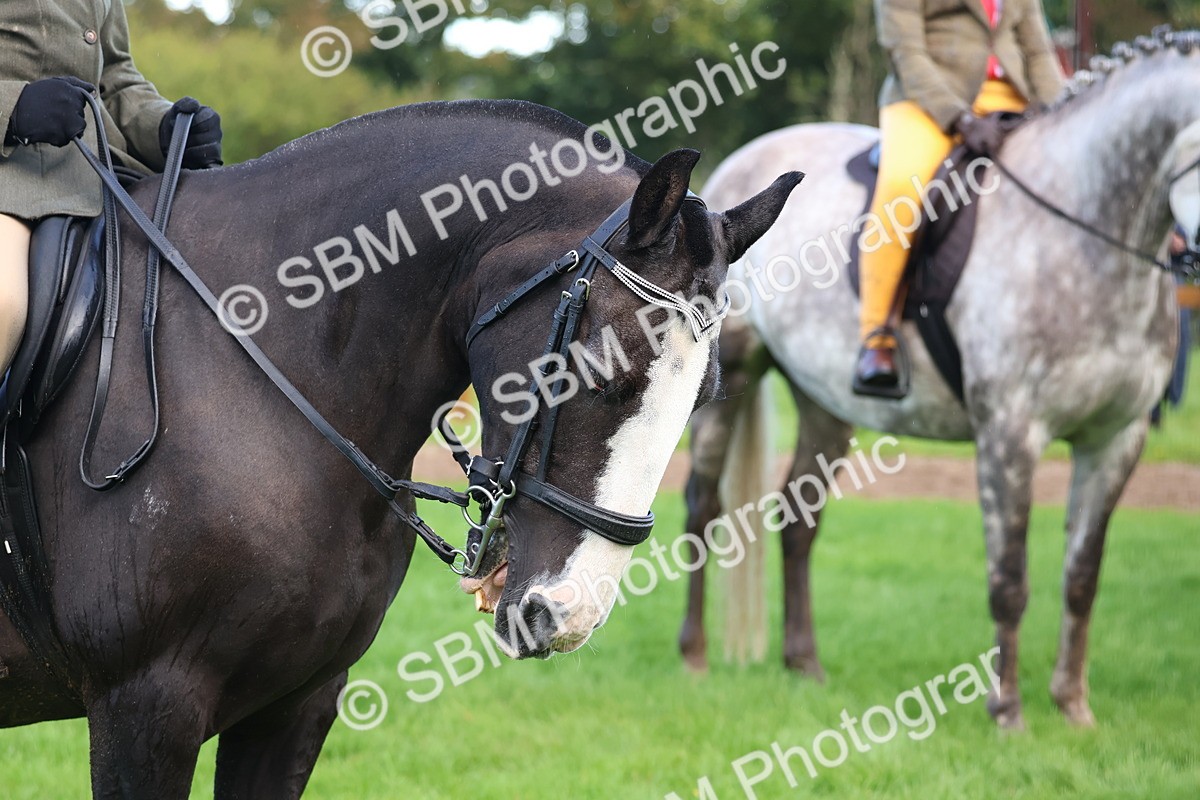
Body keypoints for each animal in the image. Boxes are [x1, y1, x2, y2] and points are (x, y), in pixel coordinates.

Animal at [678, 31, 1200, 731]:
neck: (1086, 234)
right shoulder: (1009, 435)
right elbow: (1009, 580)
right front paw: (1007, 711)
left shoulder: (1116, 438)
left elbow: (1082, 577)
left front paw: (1073, 706)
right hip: (730, 375)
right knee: (703, 505)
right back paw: (694, 655)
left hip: (823, 402)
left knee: (797, 521)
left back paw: (804, 664)